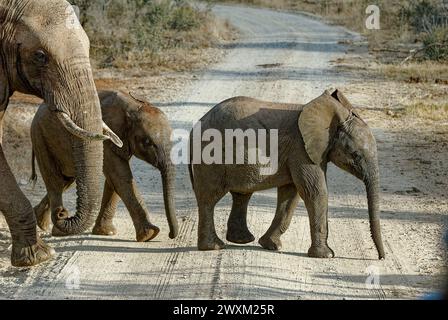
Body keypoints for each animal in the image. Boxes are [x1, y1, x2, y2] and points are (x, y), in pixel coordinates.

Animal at [31, 89, 178, 241]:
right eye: (148, 143)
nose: (171, 235)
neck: (133, 106)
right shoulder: (105, 138)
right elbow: (120, 177)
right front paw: (149, 235)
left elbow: (114, 180)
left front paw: (106, 232)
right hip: (41, 138)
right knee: (56, 180)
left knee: (66, 181)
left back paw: (46, 223)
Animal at [189, 89, 384, 260]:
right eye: (356, 155)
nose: (381, 258)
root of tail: (196, 125)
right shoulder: (300, 148)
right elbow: (315, 192)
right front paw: (327, 255)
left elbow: (291, 194)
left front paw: (271, 245)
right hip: (210, 157)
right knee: (209, 198)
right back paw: (214, 247)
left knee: (241, 195)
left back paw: (242, 240)